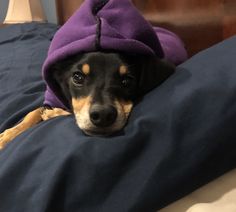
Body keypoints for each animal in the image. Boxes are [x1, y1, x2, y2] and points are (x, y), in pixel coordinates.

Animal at [0, 51, 173, 149]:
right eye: (77, 77)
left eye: (127, 80)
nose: (103, 116)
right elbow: (33, 112)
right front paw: (7, 136)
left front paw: (53, 114)